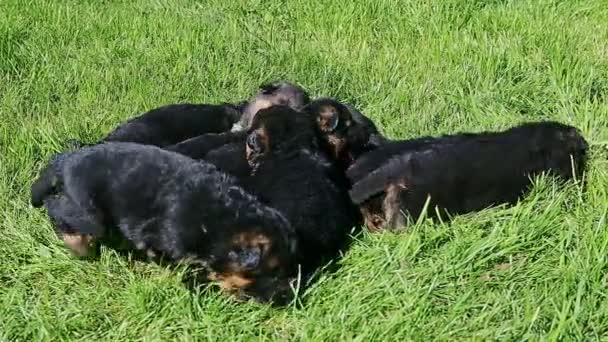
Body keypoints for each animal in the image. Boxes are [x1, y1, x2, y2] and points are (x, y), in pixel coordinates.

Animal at [29, 143, 300, 304]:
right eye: (271, 272)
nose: (289, 298)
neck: (223, 223)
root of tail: (66, 160)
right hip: (89, 213)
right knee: (57, 208)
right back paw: (76, 243)